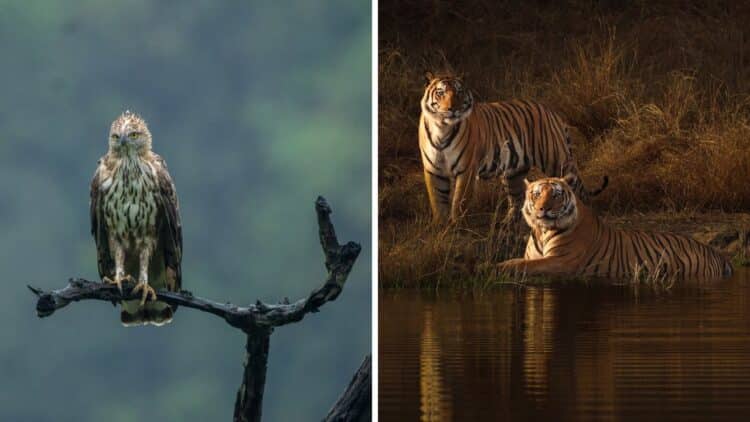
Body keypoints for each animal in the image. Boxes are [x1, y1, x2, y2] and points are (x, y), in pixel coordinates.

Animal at [419, 73, 608, 224]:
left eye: (459, 92)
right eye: (441, 92)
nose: (452, 109)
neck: (442, 129)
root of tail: (550, 111)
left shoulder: (466, 171)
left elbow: (459, 201)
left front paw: (456, 224)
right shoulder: (433, 170)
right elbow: (437, 200)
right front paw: (442, 227)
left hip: (557, 161)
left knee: (576, 189)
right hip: (513, 172)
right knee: (517, 198)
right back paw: (508, 223)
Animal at [494, 175, 733, 280]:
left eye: (555, 194)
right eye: (536, 194)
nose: (543, 208)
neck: (542, 231)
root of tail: (715, 252)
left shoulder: (562, 261)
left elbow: (521, 264)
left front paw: (495, 267)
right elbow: (522, 261)